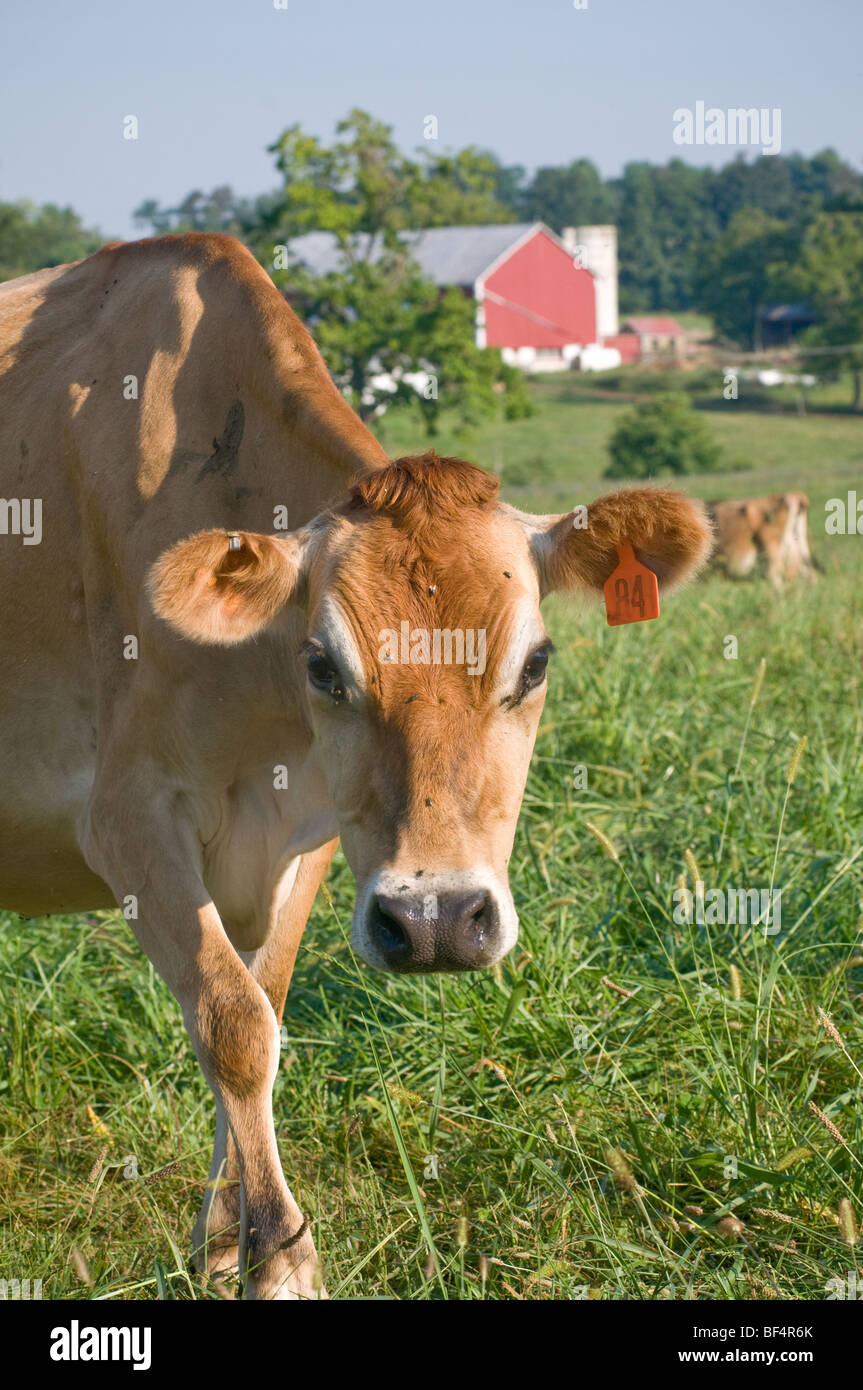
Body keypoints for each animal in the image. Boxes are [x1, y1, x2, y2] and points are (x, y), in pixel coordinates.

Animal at [0, 233, 711, 1295]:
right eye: (323, 665)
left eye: (536, 661)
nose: (436, 921)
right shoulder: (128, 817)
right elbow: (232, 1023)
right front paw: (284, 1259)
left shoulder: (311, 825)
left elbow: (264, 1004)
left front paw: (230, 1241)